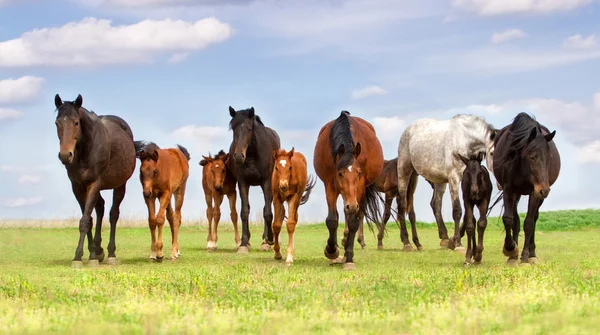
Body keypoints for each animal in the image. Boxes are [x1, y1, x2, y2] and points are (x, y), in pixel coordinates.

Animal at [53, 94, 139, 268]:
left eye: (76, 122)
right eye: (57, 123)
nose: (65, 155)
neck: (86, 149)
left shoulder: (94, 184)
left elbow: (85, 220)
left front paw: (78, 257)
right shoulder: (78, 187)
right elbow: (88, 219)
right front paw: (92, 254)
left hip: (120, 185)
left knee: (113, 214)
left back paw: (111, 254)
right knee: (100, 208)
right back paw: (98, 250)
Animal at [227, 106, 282, 253]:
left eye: (249, 128)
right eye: (233, 128)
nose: (238, 156)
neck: (252, 154)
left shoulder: (266, 182)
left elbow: (268, 212)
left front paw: (269, 239)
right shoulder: (243, 183)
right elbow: (245, 212)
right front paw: (243, 244)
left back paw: (266, 241)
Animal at [314, 110, 384, 270]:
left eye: (358, 173)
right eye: (340, 173)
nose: (352, 205)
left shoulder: (359, 188)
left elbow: (353, 220)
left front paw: (349, 258)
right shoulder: (330, 184)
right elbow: (332, 219)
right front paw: (331, 250)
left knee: (357, 214)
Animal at [396, 114, 494, 251]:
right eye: (492, 152)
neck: (464, 139)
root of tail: (407, 130)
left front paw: (453, 240)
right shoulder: (454, 178)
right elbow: (457, 210)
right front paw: (458, 243)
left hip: (430, 179)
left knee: (435, 204)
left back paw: (444, 238)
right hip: (404, 172)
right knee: (402, 204)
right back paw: (406, 242)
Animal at [490, 113, 560, 268]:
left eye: (549, 158)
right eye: (532, 157)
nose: (545, 190)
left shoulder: (535, 193)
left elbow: (528, 223)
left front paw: (525, 257)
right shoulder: (509, 189)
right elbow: (509, 219)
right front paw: (510, 249)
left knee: (533, 219)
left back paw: (532, 255)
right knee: (516, 220)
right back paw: (513, 255)